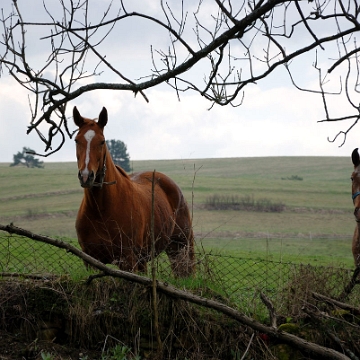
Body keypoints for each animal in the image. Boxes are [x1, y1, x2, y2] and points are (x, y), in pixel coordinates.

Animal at [73, 105, 195, 278]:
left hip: (179, 247)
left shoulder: (127, 260)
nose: (86, 176)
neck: (101, 210)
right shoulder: (91, 261)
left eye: (102, 142)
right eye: (77, 140)